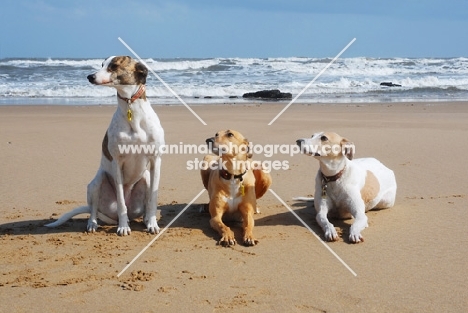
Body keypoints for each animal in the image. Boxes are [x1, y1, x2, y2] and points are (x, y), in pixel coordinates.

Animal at [44, 56, 165, 235]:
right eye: (102, 64)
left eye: (114, 66)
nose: (90, 76)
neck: (132, 111)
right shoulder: (117, 162)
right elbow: (121, 201)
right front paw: (123, 227)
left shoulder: (156, 160)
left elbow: (153, 200)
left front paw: (152, 224)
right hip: (96, 183)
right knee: (94, 209)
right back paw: (93, 224)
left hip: (146, 179)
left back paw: (144, 220)